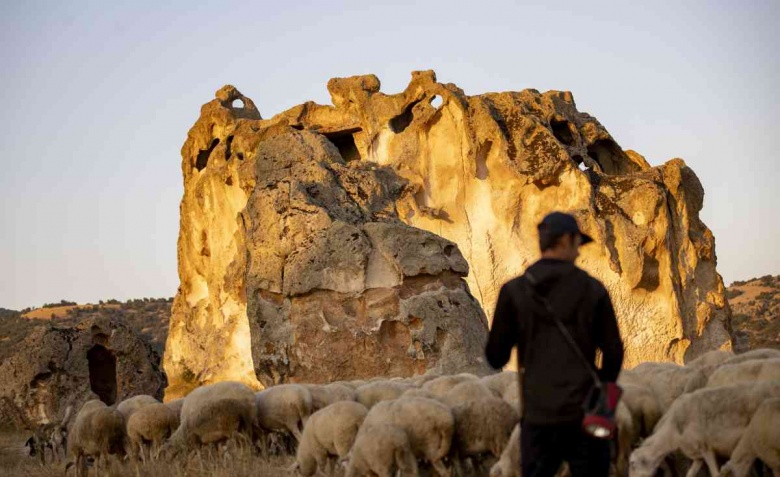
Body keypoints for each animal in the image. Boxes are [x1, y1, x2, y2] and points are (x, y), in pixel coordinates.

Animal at [628, 380, 780, 476]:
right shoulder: (697, 457)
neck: (673, 432)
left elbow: (715, 473)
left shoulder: (706, 449)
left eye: (633, 464)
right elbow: (689, 474)